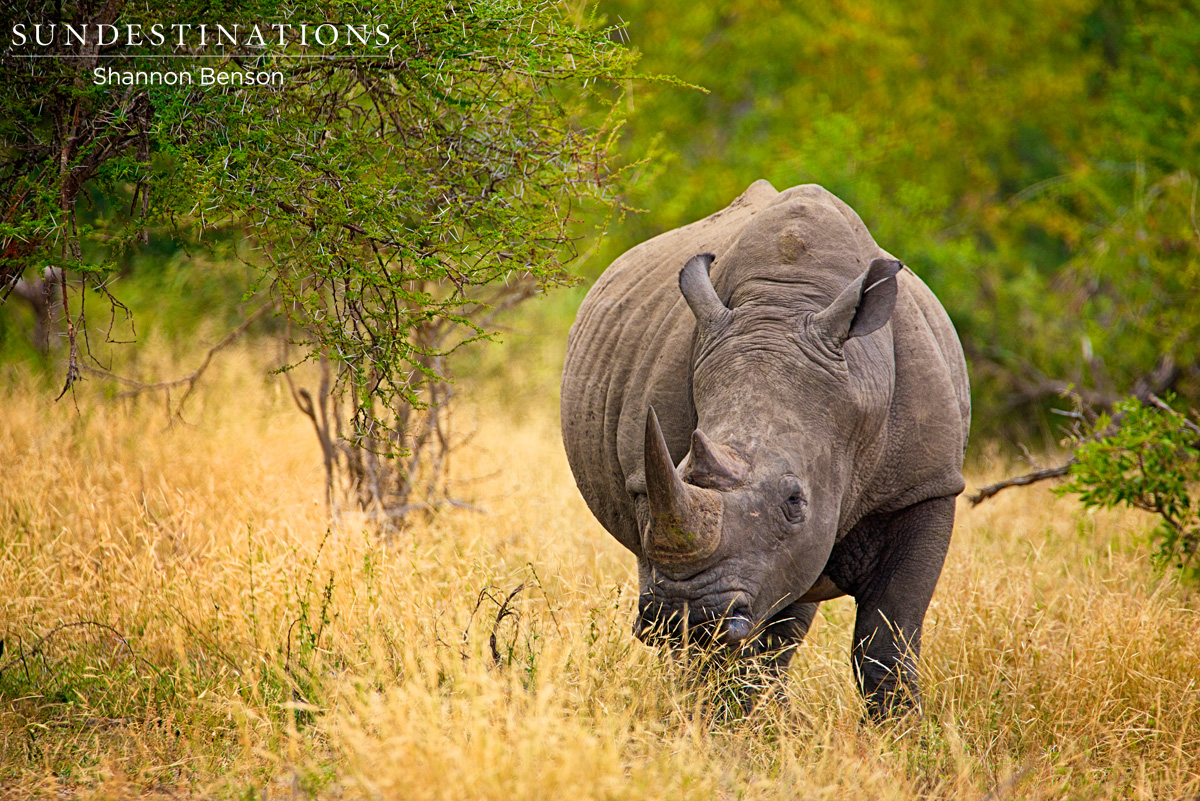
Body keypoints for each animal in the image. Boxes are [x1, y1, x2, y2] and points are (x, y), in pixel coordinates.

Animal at [560, 181, 970, 718]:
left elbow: (887, 639)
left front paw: (901, 735)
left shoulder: (926, 486)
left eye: (796, 502)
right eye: (676, 473)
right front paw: (720, 724)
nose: (685, 615)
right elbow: (725, 650)